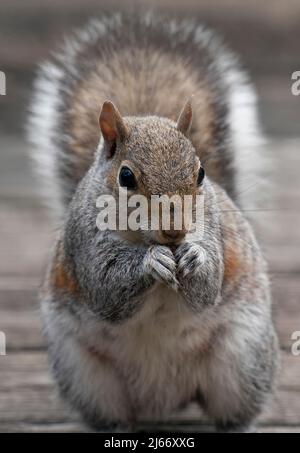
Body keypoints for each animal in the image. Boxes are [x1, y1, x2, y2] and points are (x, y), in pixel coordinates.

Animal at [27, 13, 278, 430]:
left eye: (201, 173)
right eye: (126, 177)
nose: (175, 232)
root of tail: (161, 399)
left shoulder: (215, 230)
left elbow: (208, 286)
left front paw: (194, 258)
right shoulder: (84, 240)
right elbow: (106, 289)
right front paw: (151, 262)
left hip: (242, 359)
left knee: (234, 412)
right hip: (86, 375)